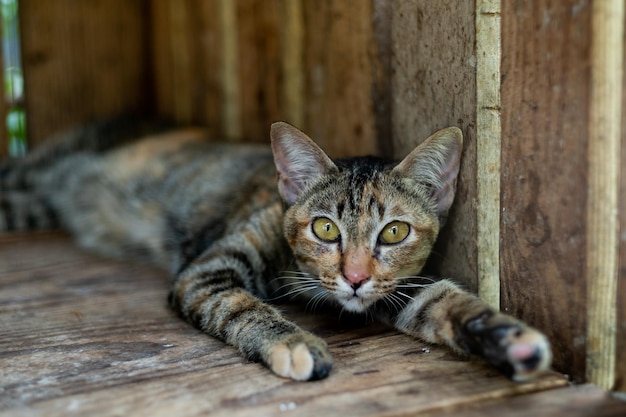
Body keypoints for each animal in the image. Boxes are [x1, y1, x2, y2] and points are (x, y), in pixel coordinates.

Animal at [0, 117, 548, 380]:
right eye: (325, 229)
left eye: (394, 233)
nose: (354, 278)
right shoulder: (209, 270)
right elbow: (241, 305)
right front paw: (294, 343)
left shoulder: (399, 288)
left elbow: (444, 302)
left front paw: (505, 338)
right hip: (35, 171)